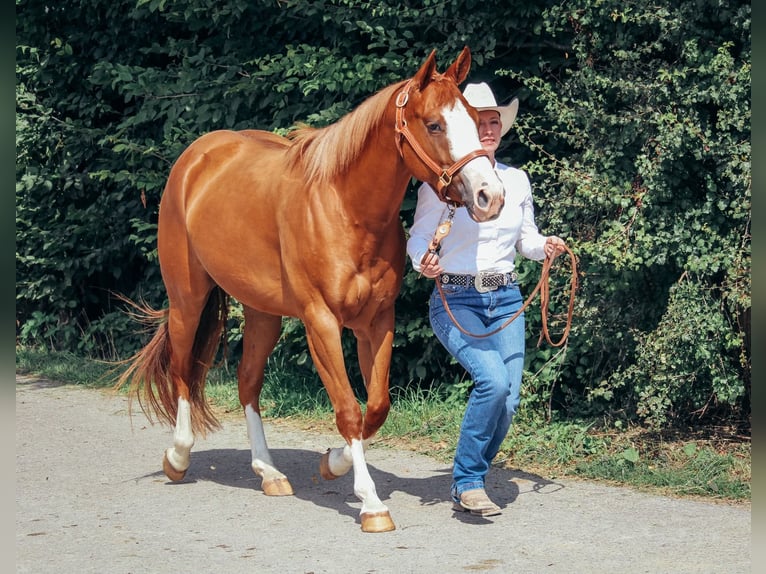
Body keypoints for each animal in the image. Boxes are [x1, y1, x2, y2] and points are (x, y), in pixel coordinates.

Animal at [116, 46, 505, 533]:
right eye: (434, 124)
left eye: (473, 117)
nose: (490, 196)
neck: (345, 208)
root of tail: (197, 156)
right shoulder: (321, 322)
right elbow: (348, 409)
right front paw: (371, 504)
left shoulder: (376, 322)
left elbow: (376, 406)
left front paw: (332, 464)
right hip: (187, 298)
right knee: (184, 371)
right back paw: (178, 457)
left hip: (262, 312)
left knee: (248, 382)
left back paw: (268, 472)